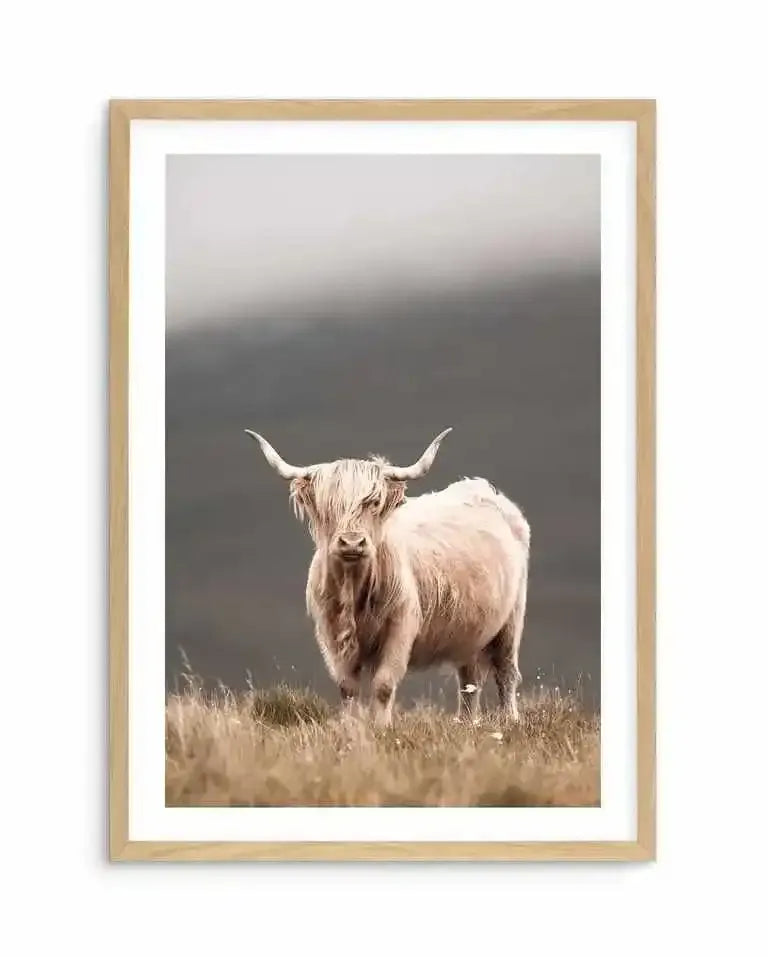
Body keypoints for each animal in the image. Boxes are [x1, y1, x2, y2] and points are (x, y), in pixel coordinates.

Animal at [245, 428, 530, 727]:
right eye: (328, 506)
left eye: (373, 502)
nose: (352, 542)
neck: (354, 590)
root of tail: (482, 488)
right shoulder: (330, 632)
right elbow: (347, 687)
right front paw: (351, 726)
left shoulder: (401, 626)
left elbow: (383, 684)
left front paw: (382, 727)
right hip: (471, 631)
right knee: (469, 679)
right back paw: (465, 722)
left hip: (511, 619)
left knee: (506, 671)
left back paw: (510, 720)